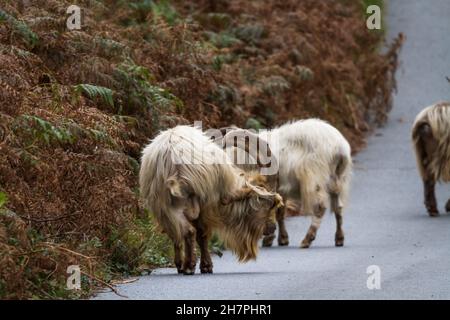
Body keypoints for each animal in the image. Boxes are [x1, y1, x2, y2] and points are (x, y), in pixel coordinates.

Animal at [139, 125, 284, 276]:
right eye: (269, 204)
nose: (272, 228)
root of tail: (174, 157)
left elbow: (182, 235)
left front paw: (187, 265)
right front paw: (204, 266)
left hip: (166, 204)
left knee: (185, 230)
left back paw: (186, 266)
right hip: (199, 200)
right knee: (194, 231)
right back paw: (190, 266)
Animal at [223, 119, 354, 249]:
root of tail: (340, 148)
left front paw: (270, 239)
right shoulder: (280, 189)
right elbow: (280, 212)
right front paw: (282, 239)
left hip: (315, 178)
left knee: (320, 207)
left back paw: (307, 239)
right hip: (337, 179)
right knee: (338, 207)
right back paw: (339, 238)